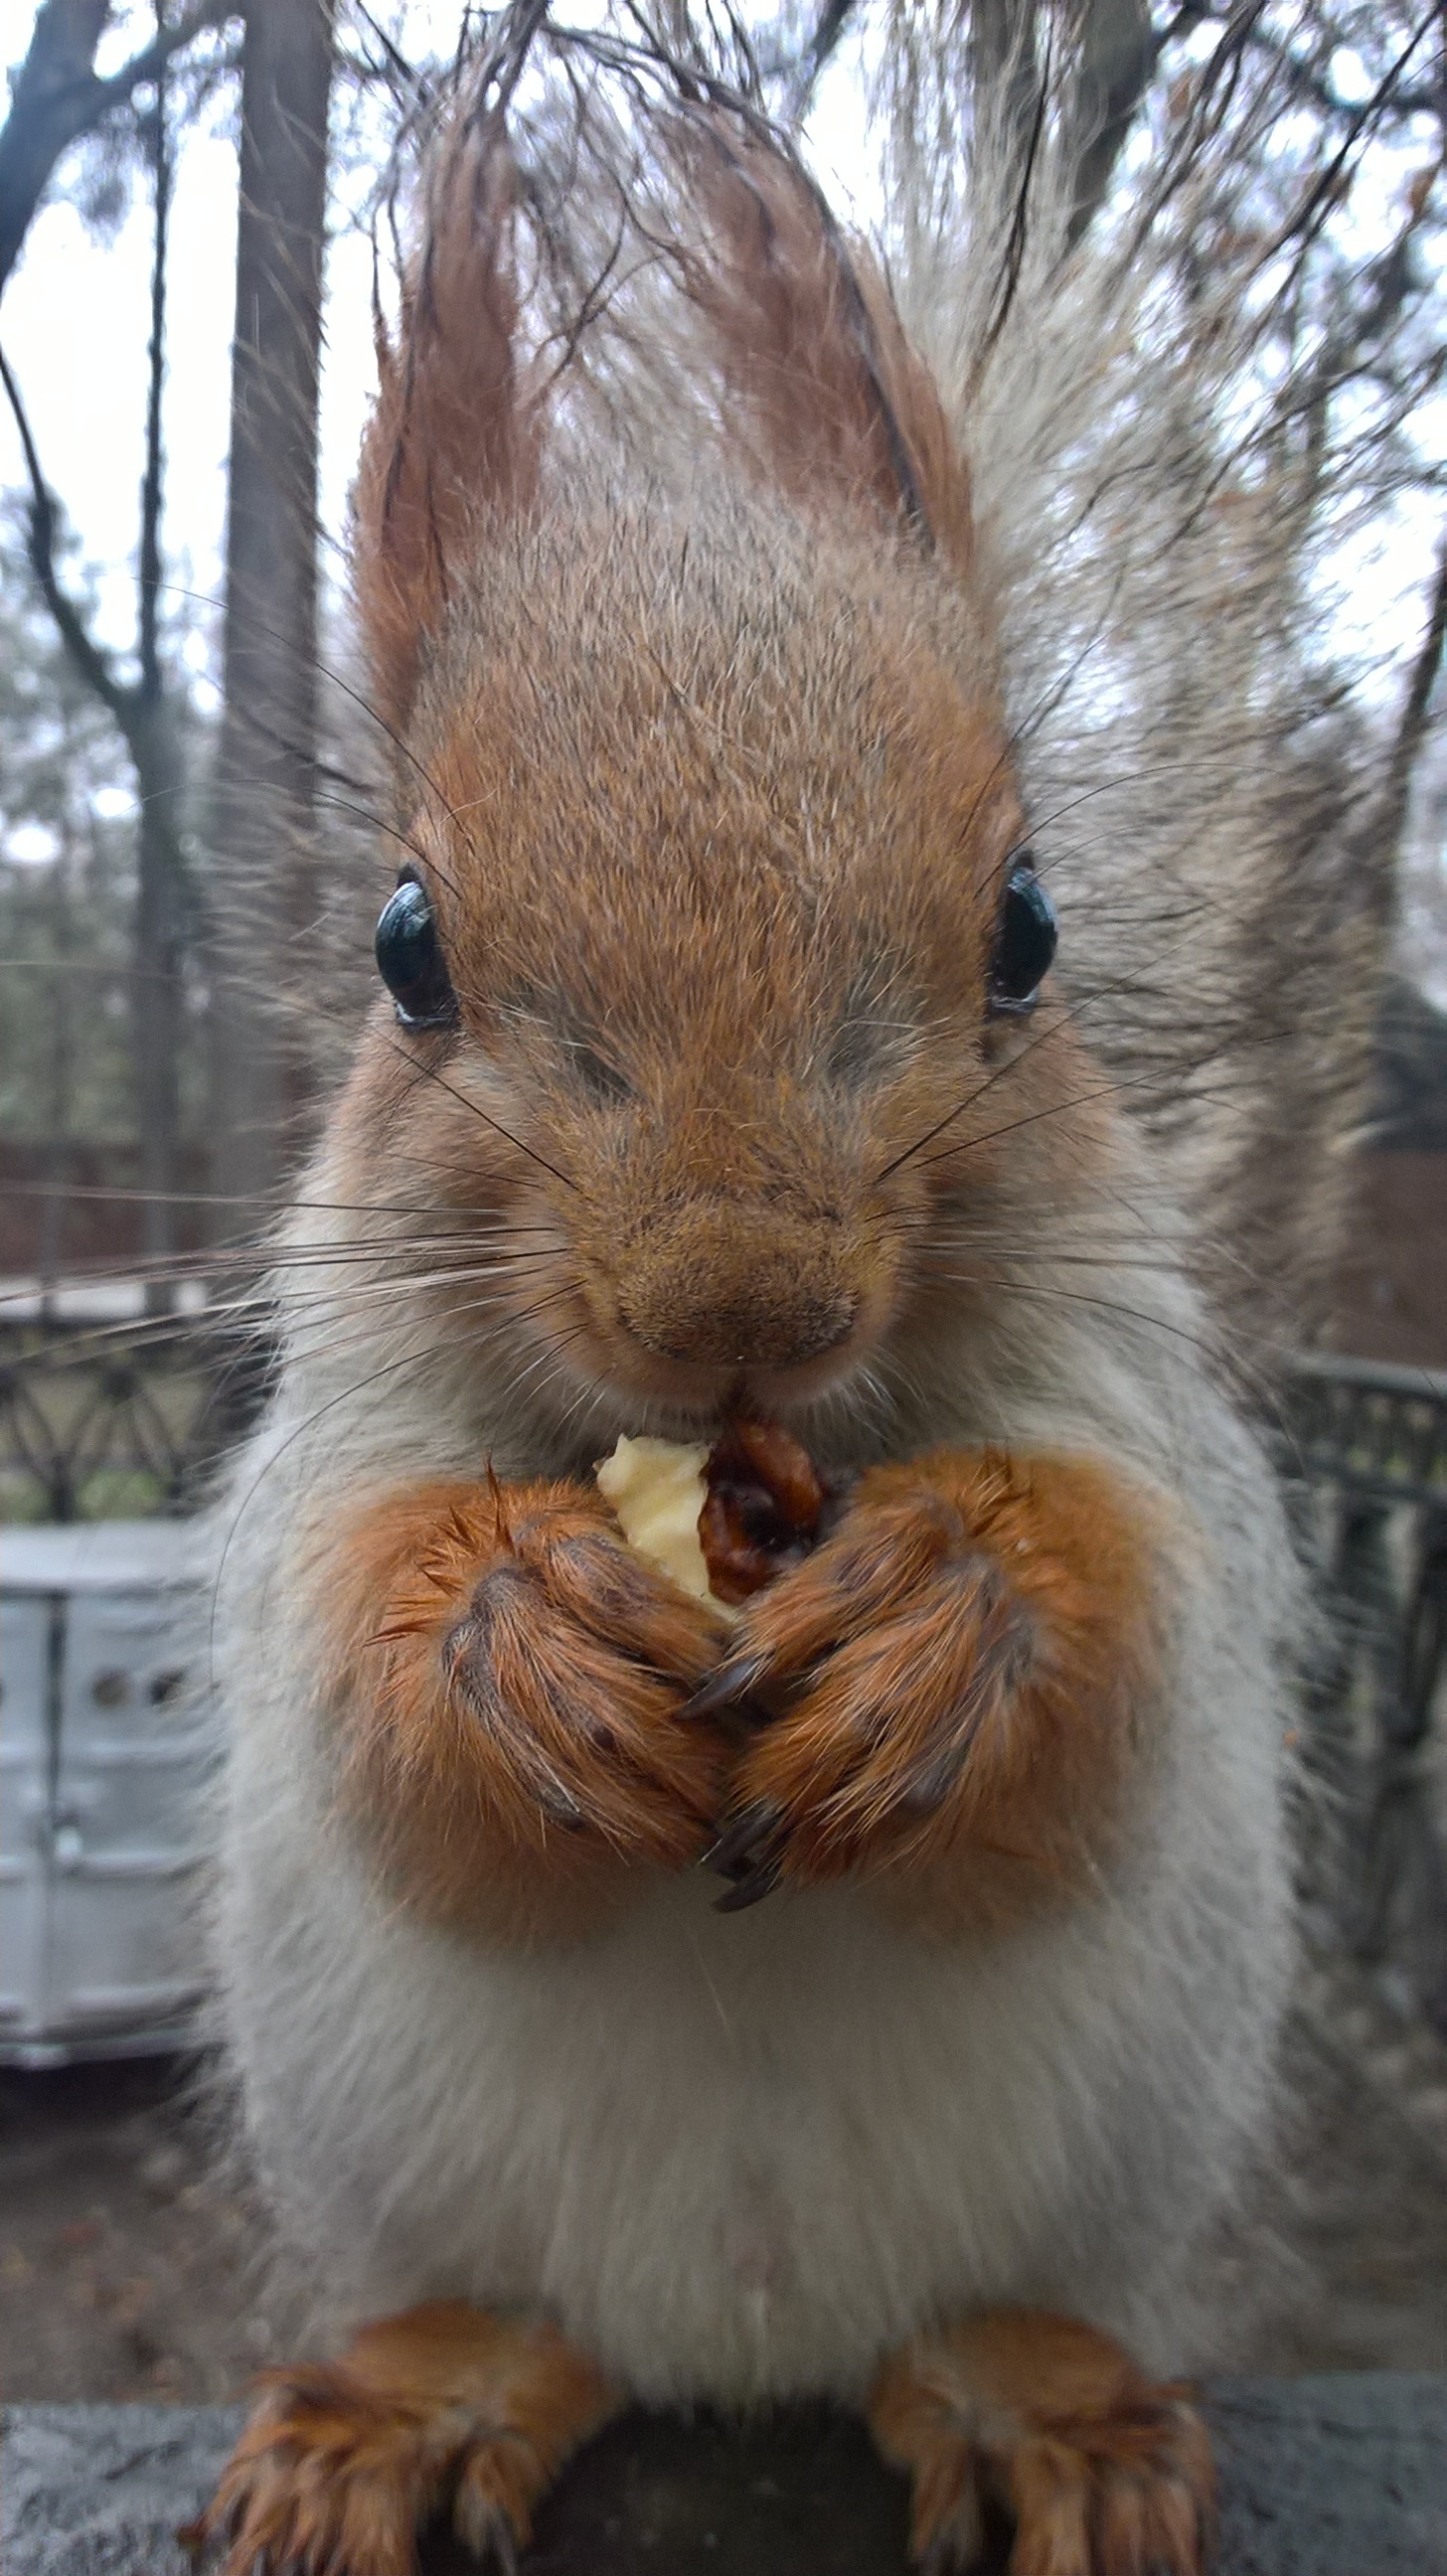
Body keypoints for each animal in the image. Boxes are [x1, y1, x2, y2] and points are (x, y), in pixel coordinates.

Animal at [194, 20, 1297, 2576]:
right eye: (404, 943)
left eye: (1029, 929)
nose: (741, 1300)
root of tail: (745, 2343)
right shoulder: (343, 1420)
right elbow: (350, 1652)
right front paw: (502, 1637)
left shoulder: (1138, 1398)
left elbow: (1138, 1624)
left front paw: (954, 1615)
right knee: (511, 2316)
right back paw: (411, 2398)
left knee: (986, 2319)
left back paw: (1045, 2405)